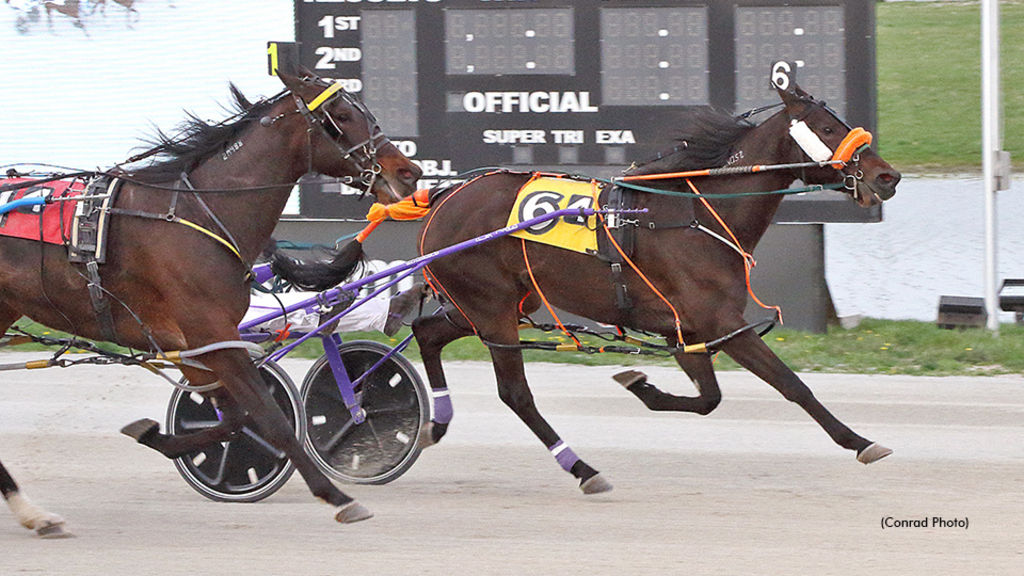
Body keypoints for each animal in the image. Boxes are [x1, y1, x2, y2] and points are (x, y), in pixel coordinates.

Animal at [0, 70, 421, 532]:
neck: (198, 214)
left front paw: (153, 434)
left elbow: (235, 418)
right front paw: (337, 496)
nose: (410, 171)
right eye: (342, 115)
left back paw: (32, 513)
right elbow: (269, 417)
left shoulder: (196, 346)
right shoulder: (210, 333)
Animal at [411, 86, 901, 494]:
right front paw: (859, 441)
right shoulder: (721, 321)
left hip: (496, 303)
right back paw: (583, 469)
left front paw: (641, 385)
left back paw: (435, 424)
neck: (696, 214)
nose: (887, 176)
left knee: (426, 332)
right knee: (515, 394)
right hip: (491, 306)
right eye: (827, 128)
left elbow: (709, 399)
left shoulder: (685, 328)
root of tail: (444, 199)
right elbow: (791, 385)